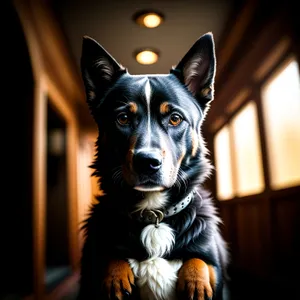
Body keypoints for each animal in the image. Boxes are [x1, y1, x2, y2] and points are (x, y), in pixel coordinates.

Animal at [78, 32, 230, 300]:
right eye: (123, 118)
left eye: (175, 118)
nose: (147, 162)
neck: (153, 216)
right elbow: (110, 258)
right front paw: (115, 278)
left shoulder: (212, 263)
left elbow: (201, 262)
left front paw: (196, 283)